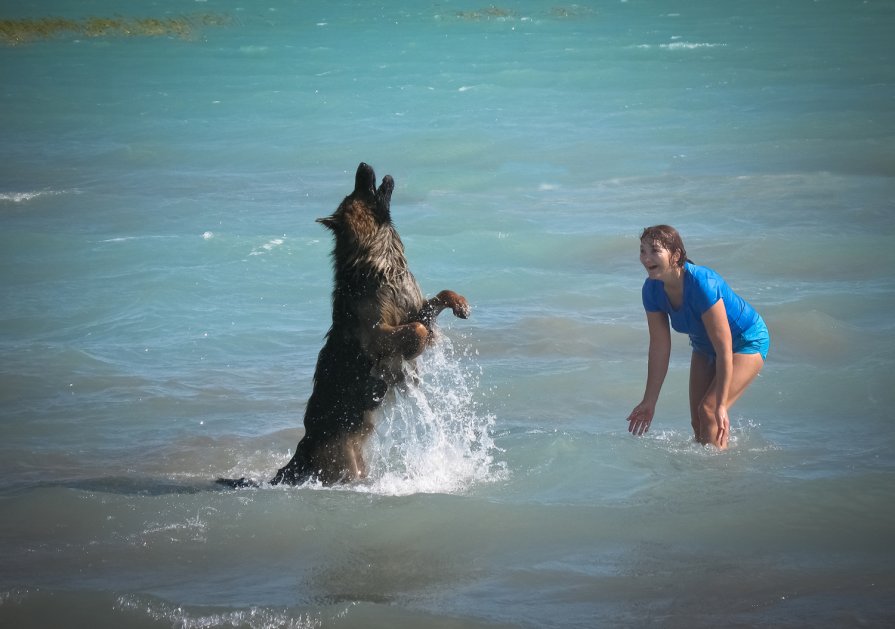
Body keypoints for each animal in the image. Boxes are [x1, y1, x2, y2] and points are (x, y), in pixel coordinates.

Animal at [219, 162, 468, 486]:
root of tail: (304, 446)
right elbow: (417, 331)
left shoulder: (412, 309)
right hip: (343, 463)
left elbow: (438, 299)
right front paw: (417, 348)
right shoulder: (377, 334)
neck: (382, 259)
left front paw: (460, 303)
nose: (363, 165)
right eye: (357, 190)